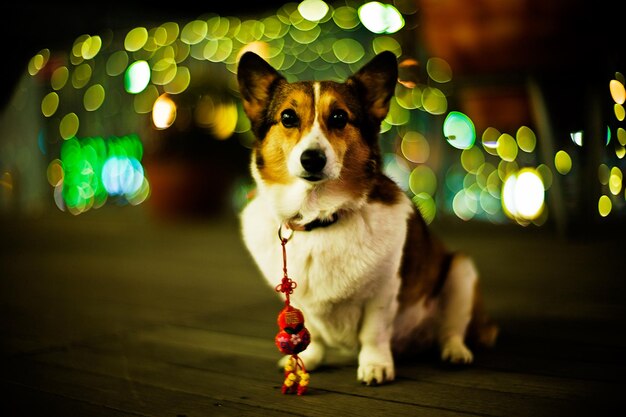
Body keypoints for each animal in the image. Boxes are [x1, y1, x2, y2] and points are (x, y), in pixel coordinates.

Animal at [235, 50, 498, 386]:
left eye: (339, 117)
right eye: (288, 118)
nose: (312, 159)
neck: (319, 216)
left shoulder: (382, 291)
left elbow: (374, 333)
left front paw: (375, 366)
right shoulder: (303, 300)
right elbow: (313, 333)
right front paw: (308, 359)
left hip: (460, 271)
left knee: (451, 330)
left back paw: (455, 352)